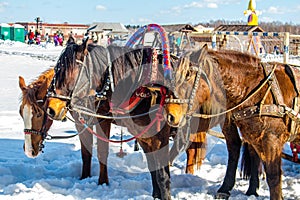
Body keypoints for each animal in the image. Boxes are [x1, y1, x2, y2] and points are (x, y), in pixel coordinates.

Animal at [164, 45, 300, 200]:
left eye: (188, 75)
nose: (170, 115)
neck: (253, 89)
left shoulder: (271, 141)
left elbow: (273, 177)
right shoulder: (251, 136)